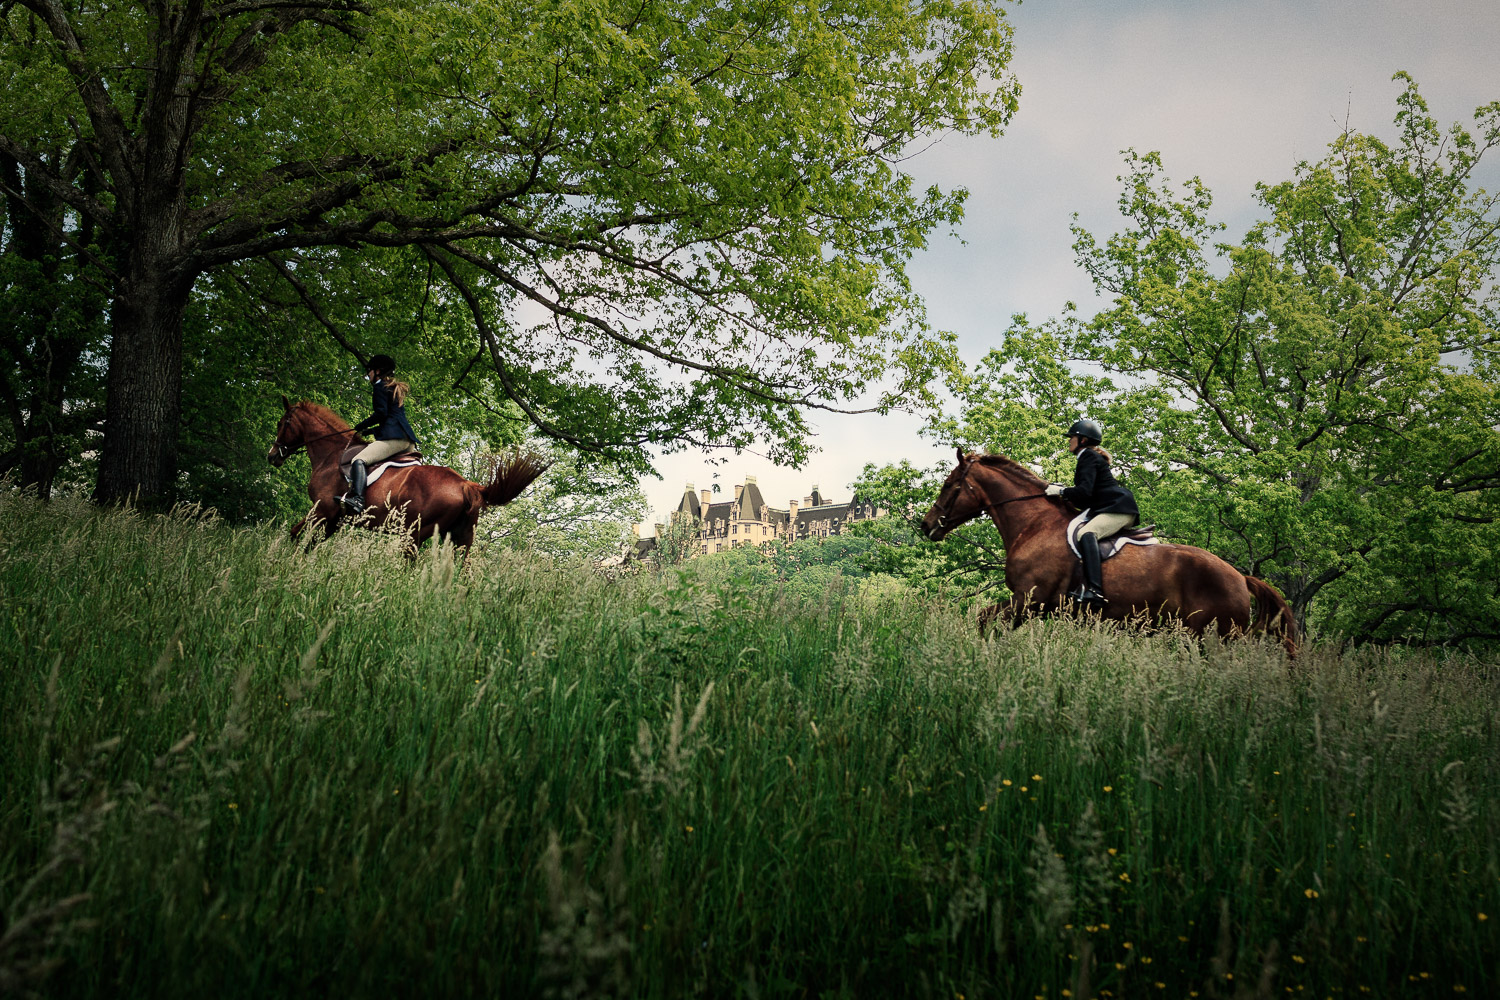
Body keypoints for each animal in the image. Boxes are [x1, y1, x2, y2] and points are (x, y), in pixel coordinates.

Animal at [267, 398, 549, 551]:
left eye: (282, 424)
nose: (272, 456)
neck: (331, 454)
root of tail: (465, 484)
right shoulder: (333, 520)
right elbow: (307, 544)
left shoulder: (321, 511)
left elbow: (295, 536)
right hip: (460, 538)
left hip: (415, 534)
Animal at [918, 452, 1296, 656]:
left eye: (949, 485)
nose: (926, 525)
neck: (1034, 523)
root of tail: (1240, 577)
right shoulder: (1035, 605)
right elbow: (986, 620)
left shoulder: (1029, 600)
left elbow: (985, 619)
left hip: (1215, 636)